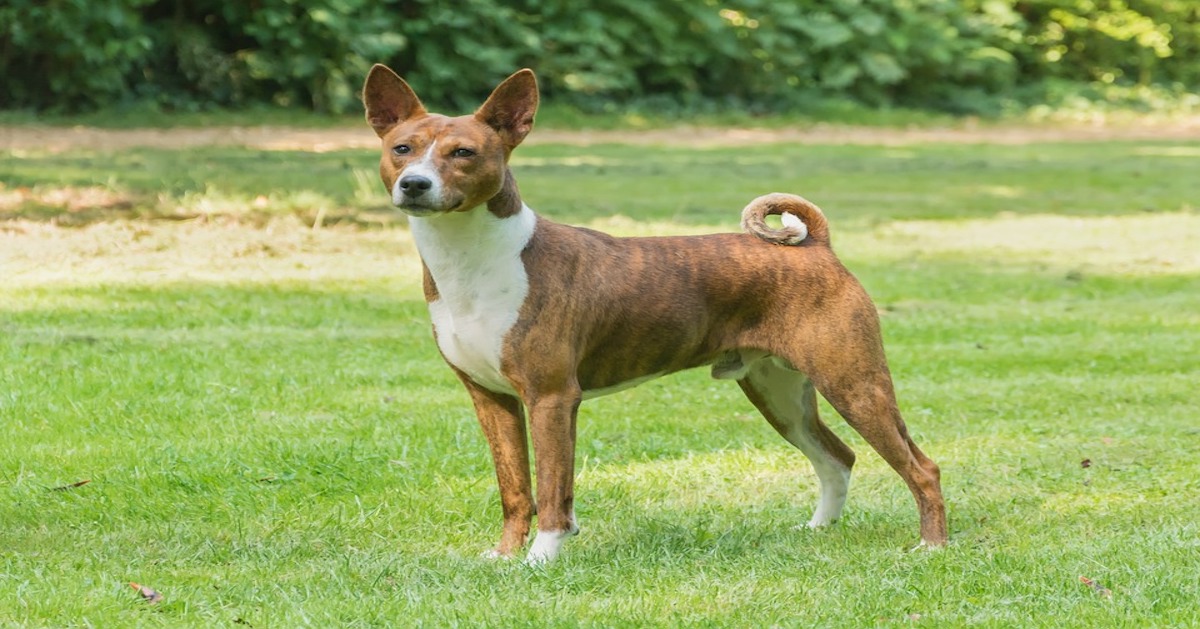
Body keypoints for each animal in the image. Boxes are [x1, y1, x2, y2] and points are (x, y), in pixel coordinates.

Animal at [360, 65, 940, 564]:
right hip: (778, 392)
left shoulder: (551, 398)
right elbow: (516, 490)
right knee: (837, 457)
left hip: (853, 382)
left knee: (922, 468)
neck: (475, 261)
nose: (414, 184)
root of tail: (817, 245)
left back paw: (931, 547)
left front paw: (540, 561)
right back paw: (819, 531)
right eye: (402, 149)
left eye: (463, 152)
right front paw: (504, 557)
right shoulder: (492, 399)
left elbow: (552, 490)